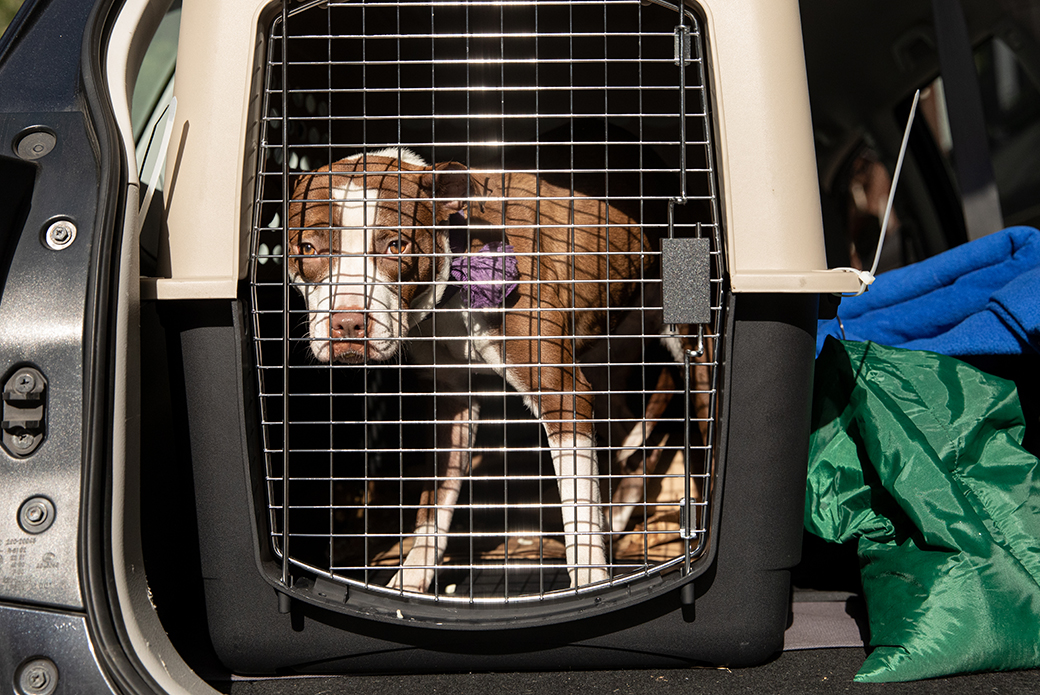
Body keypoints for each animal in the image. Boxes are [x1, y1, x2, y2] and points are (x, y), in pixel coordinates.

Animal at [287, 146, 657, 590]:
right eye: (308, 249)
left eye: (396, 245)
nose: (347, 324)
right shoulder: (452, 403)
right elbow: (435, 501)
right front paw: (411, 580)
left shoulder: (561, 394)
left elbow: (577, 505)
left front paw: (590, 582)